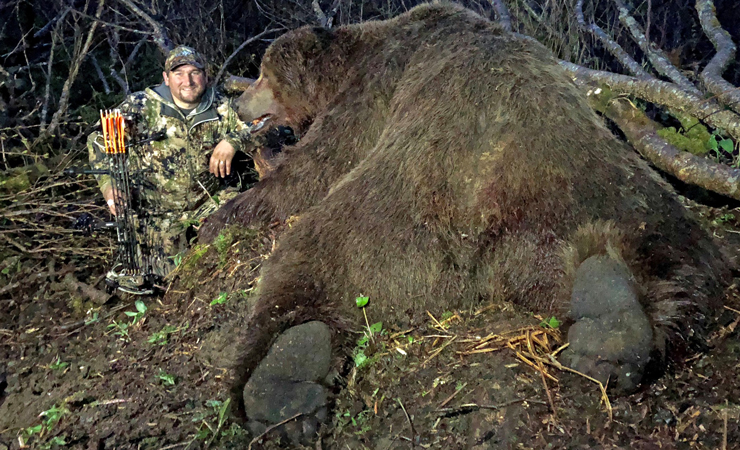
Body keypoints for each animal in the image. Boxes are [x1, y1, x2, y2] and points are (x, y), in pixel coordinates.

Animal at [199, 0, 732, 442]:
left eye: (263, 73)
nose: (238, 102)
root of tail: (477, 240)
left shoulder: (373, 90)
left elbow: (318, 165)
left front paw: (221, 217)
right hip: (593, 189)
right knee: (667, 248)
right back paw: (611, 324)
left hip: (391, 207)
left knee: (300, 257)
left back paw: (279, 382)